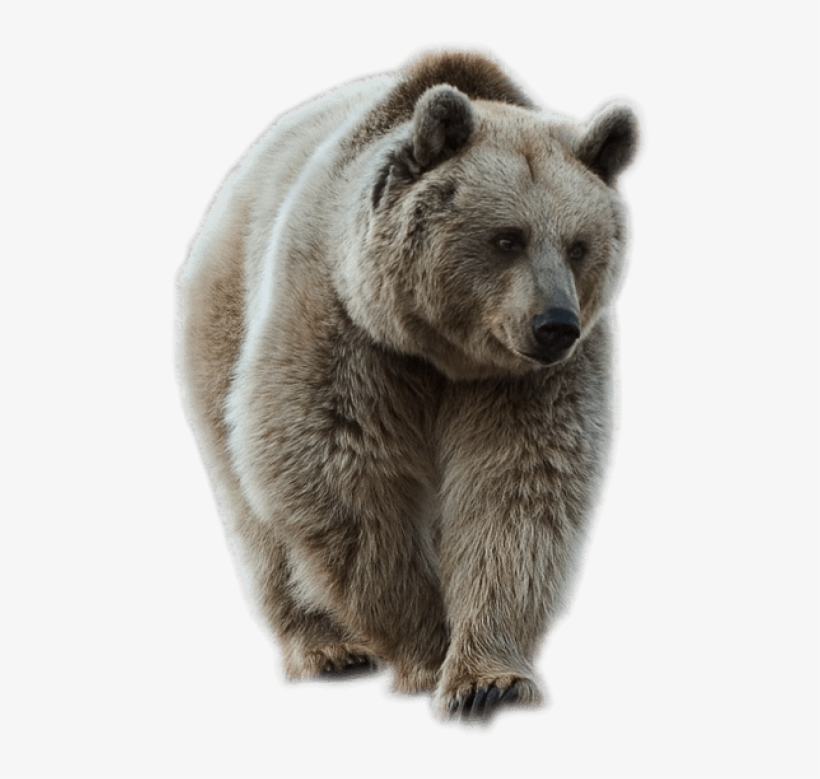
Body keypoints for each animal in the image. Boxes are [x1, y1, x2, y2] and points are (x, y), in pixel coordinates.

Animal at [177, 50, 638, 719]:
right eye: (507, 237)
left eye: (579, 245)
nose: (555, 325)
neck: (443, 354)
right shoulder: (348, 332)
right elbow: (340, 476)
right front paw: (424, 649)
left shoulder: (527, 383)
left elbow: (517, 491)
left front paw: (487, 679)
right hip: (225, 319)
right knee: (256, 517)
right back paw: (327, 649)